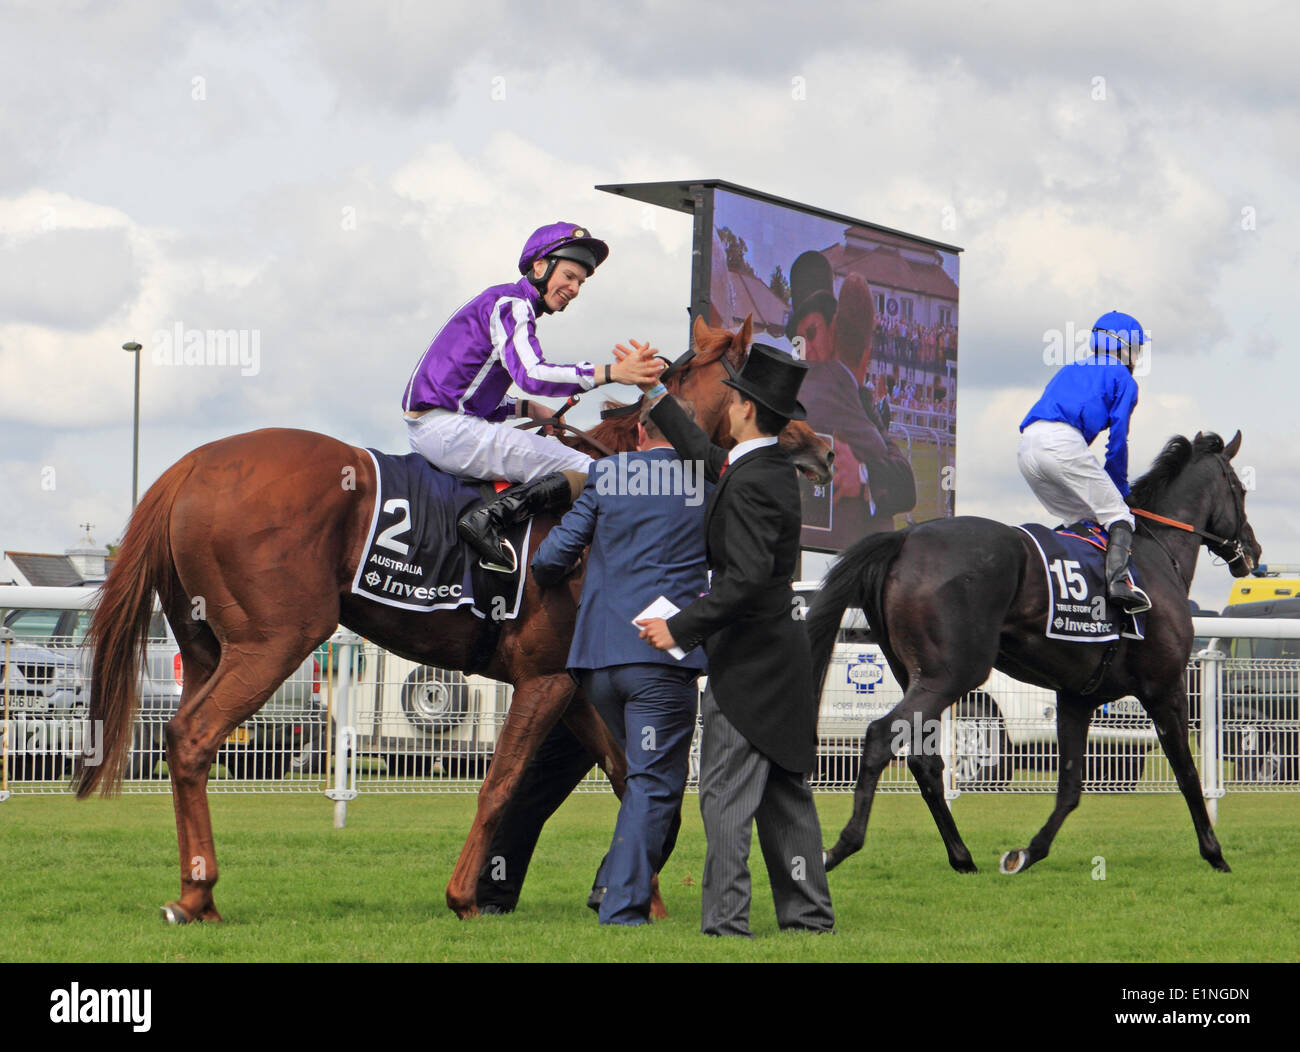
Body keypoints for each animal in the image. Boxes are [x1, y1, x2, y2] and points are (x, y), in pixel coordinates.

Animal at [76, 318, 832, 920]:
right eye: (760, 380)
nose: (820, 444)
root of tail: (191, 465)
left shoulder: (573, 684)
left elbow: (625, 776)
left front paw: (644, 904)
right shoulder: (544, 678)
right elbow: (502, 783)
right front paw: (466, 896)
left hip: (207, 646)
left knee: (183, 740)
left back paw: (194, 891)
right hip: (274, 642)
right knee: (192, 738)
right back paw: (198, 893)